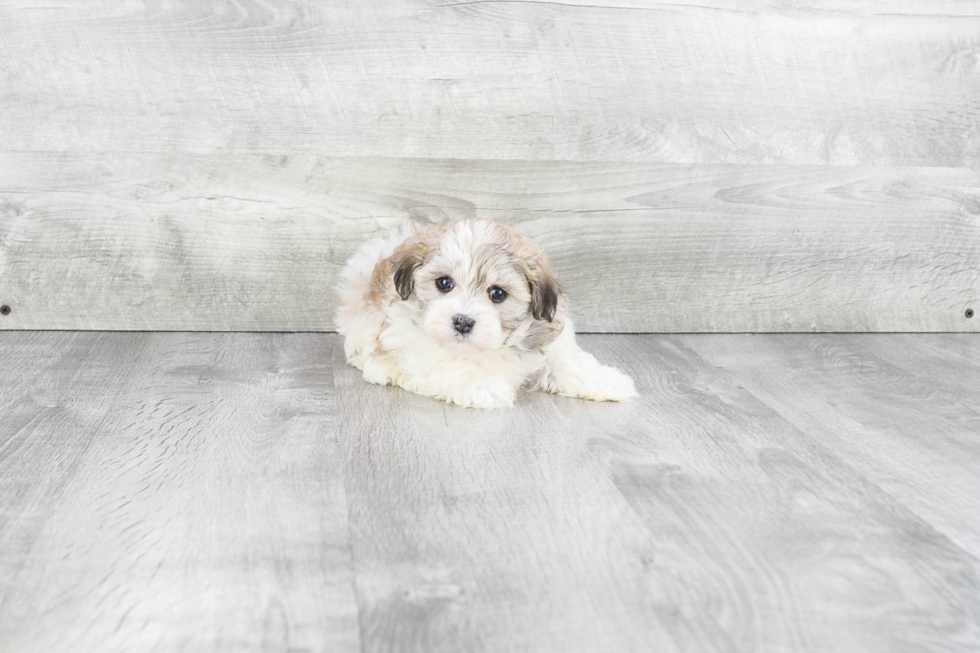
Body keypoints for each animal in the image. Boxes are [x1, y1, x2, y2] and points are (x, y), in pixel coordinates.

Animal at [336, 219, 640, 408]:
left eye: (497, 294)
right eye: (444, 283)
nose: (462, 322)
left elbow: (568, 363)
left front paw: (607, 381)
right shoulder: (414, 343)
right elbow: (447, 364)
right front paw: (483, 386)